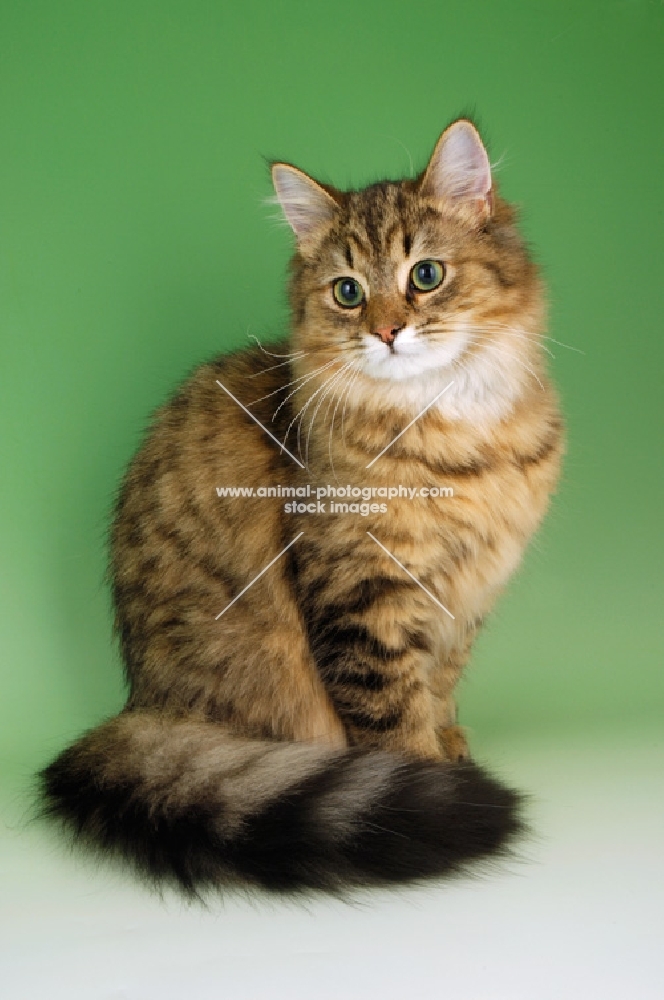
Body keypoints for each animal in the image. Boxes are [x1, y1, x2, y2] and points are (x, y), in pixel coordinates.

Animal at [41, 119, 564, 900]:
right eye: (348, 292)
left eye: (425, 276)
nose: (386, 332)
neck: (457, 435)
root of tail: (140, 711)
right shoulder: (360, 590)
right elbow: (391, 707)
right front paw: (431, 780)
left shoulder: (463, 595)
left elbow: (435, 685)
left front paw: (448, 746)